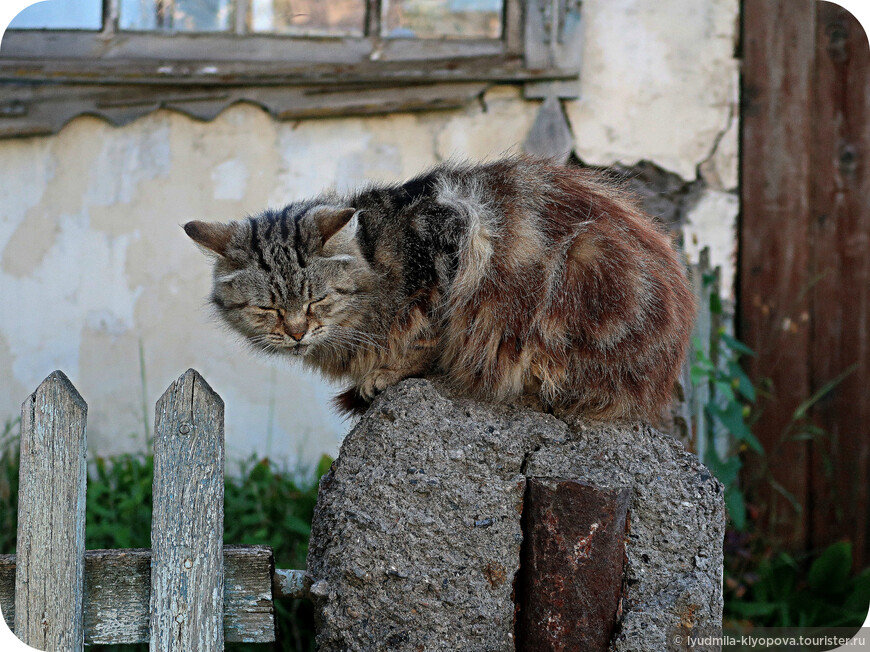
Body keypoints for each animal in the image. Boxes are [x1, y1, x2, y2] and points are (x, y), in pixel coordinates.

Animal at [187, 158, 700, 422]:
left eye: (318, 300)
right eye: (268, 309)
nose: (296, 332)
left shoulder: (450, 246)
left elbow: (428, 336)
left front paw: (390, 371)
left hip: (579, 270)